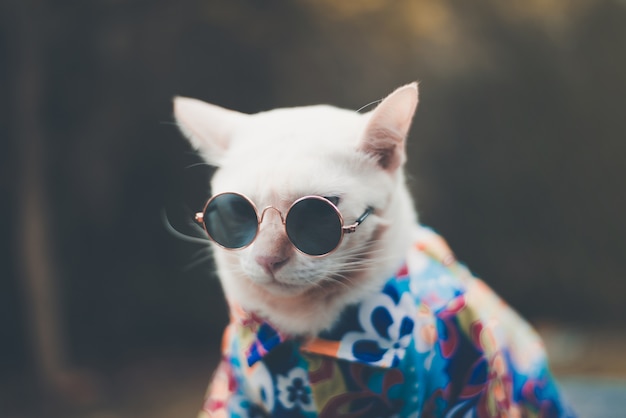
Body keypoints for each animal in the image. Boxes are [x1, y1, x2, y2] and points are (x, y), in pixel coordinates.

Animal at [174, 85, 572, 418]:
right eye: (234, 213)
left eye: (319, 214)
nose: (267, 259)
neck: (303, 331)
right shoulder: (231, 397)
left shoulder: (470, 392)